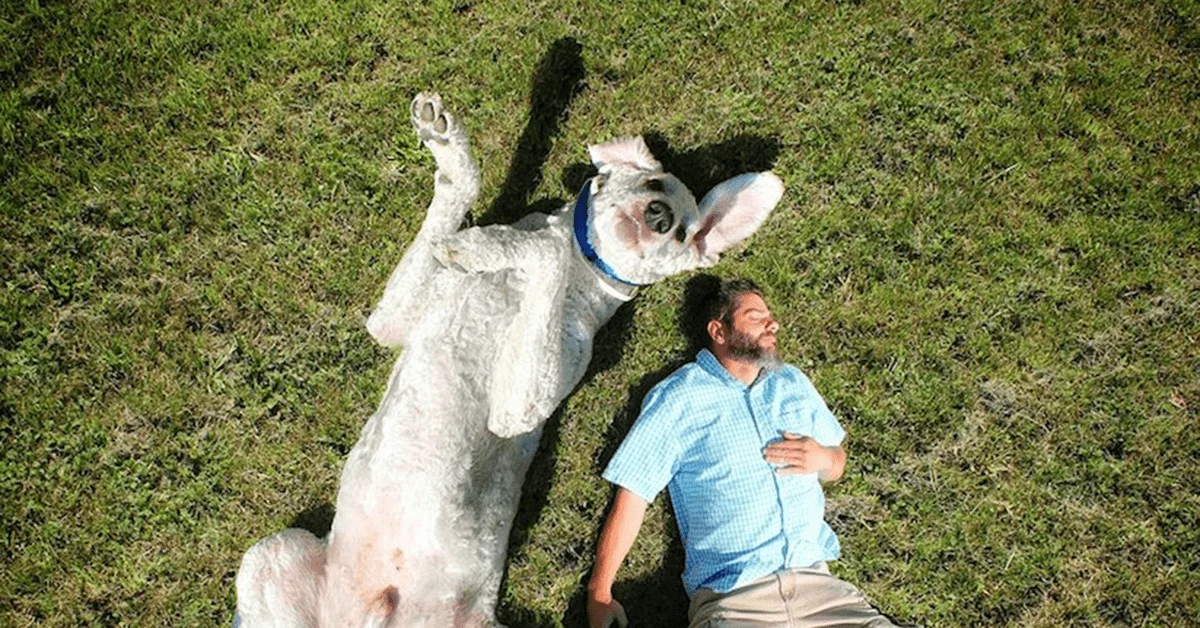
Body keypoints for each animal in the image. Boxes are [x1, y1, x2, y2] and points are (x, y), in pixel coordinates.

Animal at [234, 93, 787, 628]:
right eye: (654, 183)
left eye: (682, 235)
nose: (660, 217)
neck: (579, 263)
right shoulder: (388, 321)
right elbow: (463, 219)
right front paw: (448, 152)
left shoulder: (522, 404)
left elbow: (538, 251)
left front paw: (485, 245)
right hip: (271, 555)